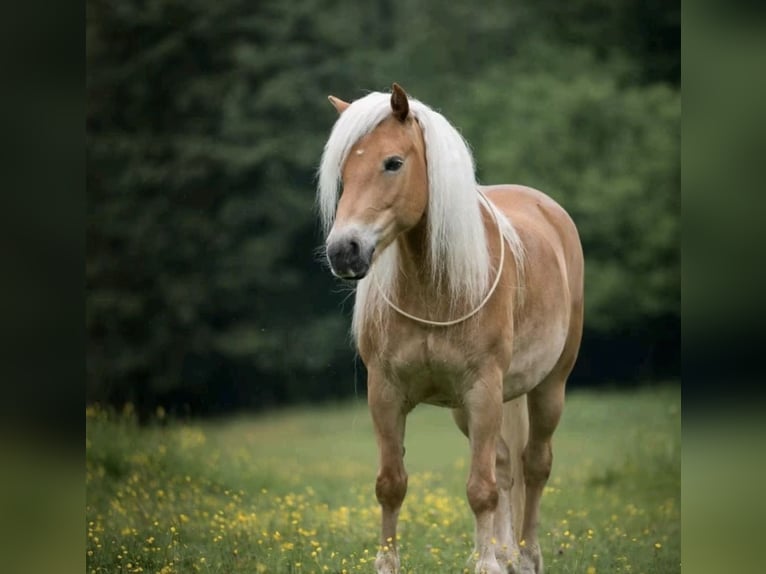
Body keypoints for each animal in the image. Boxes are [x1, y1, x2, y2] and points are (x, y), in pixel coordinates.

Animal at [317, 83, 583, 574]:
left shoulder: (483, 389)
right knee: (504, 466)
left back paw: (526, 557)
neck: (432, 288)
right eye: (343, 169)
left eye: (393, 163)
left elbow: (480, 490)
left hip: (548, 387)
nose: (344, 251)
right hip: (471, 408)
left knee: (534, 466)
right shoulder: (386, 392)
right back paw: (505, 555)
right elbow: (392, 484)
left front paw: (487, 565)